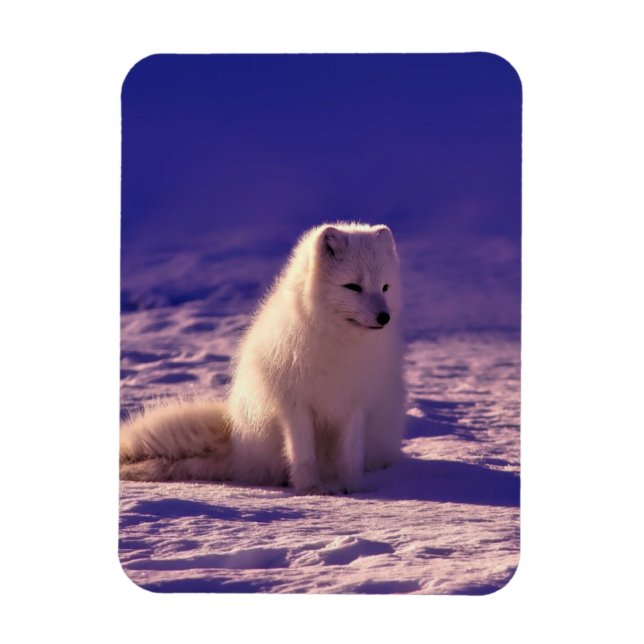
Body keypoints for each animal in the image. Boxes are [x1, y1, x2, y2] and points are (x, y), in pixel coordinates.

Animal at [120, 222, 406, 494]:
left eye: (385, 287)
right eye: (353, 286)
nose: (384, 317)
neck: (339, 344)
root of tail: (238, 447)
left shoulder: (355, 405)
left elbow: (351, 456)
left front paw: (355, 490)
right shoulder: (295, 405)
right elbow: (303, 455)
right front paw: (312, 490)